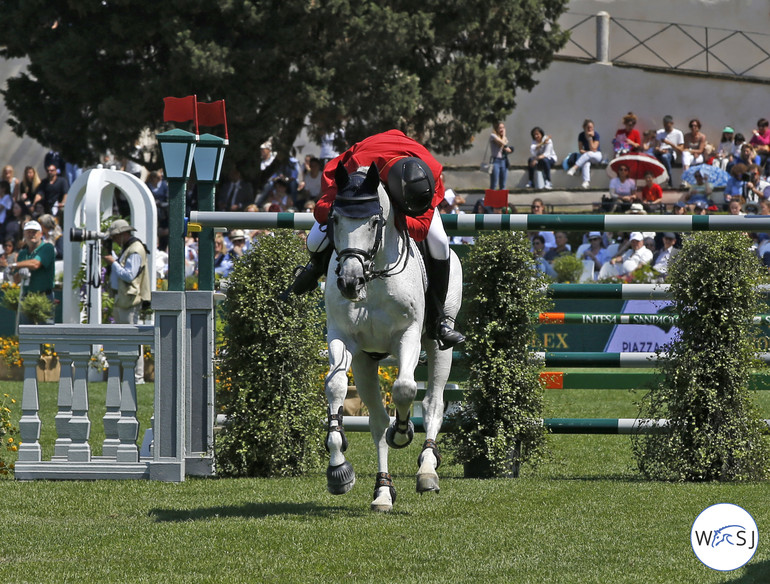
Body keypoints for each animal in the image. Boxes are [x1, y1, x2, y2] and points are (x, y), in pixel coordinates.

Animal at [320, 163, 460, 512]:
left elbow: (405, 388)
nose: (349, 283)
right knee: (377, 422)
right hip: (366, 362)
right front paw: (338, 467)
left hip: (439, 346)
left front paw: (403, 432)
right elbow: (336, 386)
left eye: (374, 221)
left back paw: (427, 469)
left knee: (433, 401)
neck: (372, 274)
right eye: (334, 219)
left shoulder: (407, 335)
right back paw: (383, 491)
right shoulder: (343, 338)